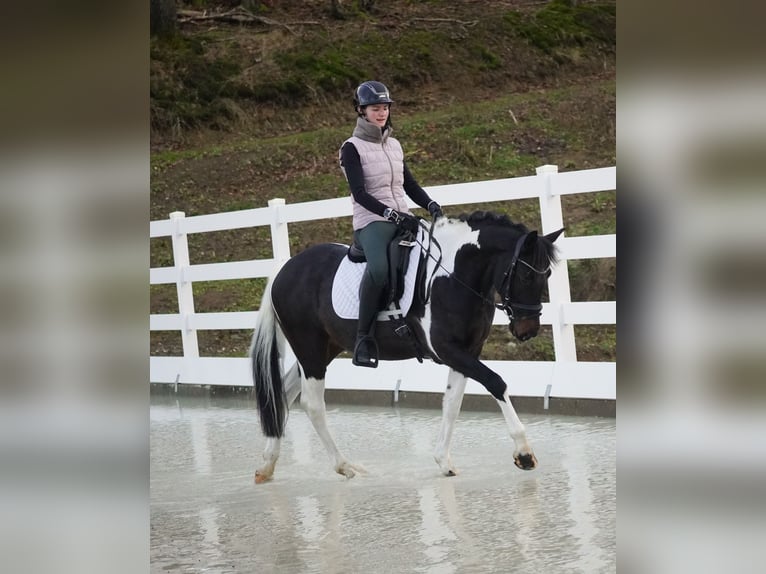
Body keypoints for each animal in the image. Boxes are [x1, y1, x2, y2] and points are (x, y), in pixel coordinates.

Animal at [250, 209, 564, 484]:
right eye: (526, 275)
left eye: (548, 275)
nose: (528, 331)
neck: (452, 275)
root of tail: (285, 269)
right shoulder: (448, 350)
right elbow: (496, 382)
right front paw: (524, 454)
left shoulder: (466, 351)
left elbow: (452, 403)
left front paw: (444, 462)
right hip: (310, 349)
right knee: (312, 405)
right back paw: (345, 467)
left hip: (323, 349)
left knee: (283, 394)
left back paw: (266, 466)